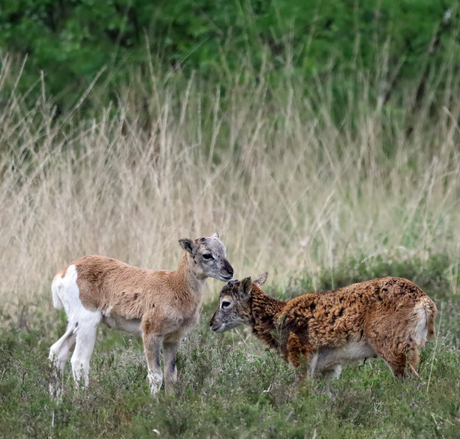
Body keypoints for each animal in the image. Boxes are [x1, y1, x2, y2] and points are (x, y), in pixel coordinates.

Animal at [50, 234, 234, 396]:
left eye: (223, 249)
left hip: (75, 326)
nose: (229, 272)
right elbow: (156, 375)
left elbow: (170, 375)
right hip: (88, 325)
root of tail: (65, 271)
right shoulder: (151, 336)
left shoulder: (171, 341)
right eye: (207, 254)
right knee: (79, 361)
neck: (174, 284)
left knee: (57, 351)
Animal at [210, 276, 436, 382]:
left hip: (393, 349)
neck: (278, 317)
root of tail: (424, 302)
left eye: (225, 303)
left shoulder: (301, 358)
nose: (212, 324)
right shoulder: (329, 368)